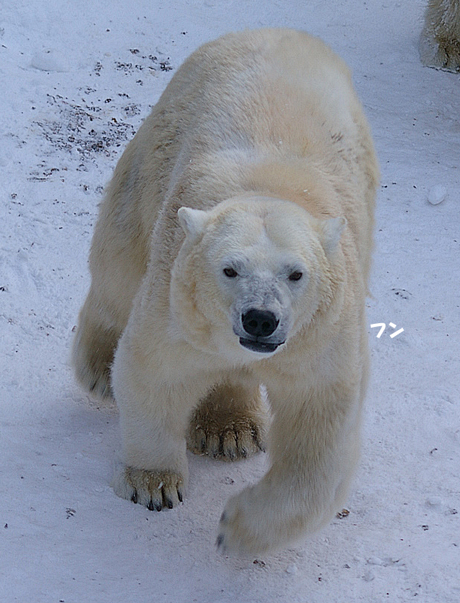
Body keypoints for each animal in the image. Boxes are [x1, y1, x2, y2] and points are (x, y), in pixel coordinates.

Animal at [73, 29, 378, 556]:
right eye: (229, 269)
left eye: (296, 274)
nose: (260, 318)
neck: (271, 189)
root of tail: (273, 31)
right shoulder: (178, 301)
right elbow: (153, 370)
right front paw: (154, 485)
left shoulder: (323, 335)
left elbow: (320, 426)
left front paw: (235, 529)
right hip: (153, 157)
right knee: (118, 264)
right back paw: (97, 370)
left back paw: (231, 431)